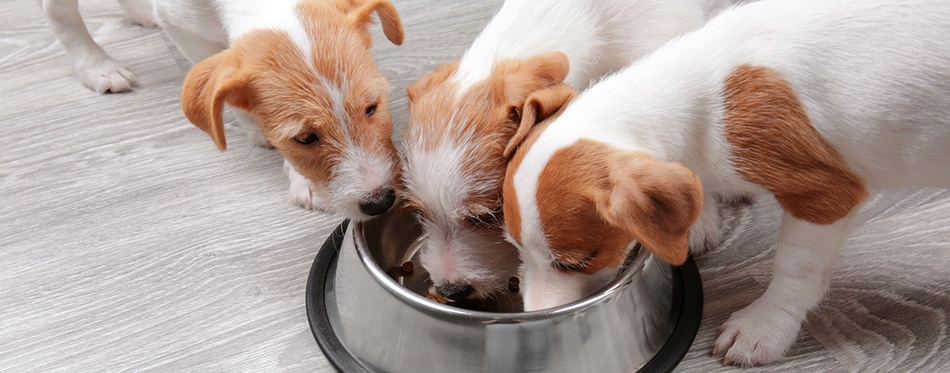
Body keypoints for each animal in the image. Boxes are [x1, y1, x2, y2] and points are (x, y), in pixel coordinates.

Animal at [502, 0, 948, 366]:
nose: (532, 317)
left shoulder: (825, 194)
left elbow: (796, 268)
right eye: (514, 247)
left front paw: (765, 327)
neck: (699, 97)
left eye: (575, 263)